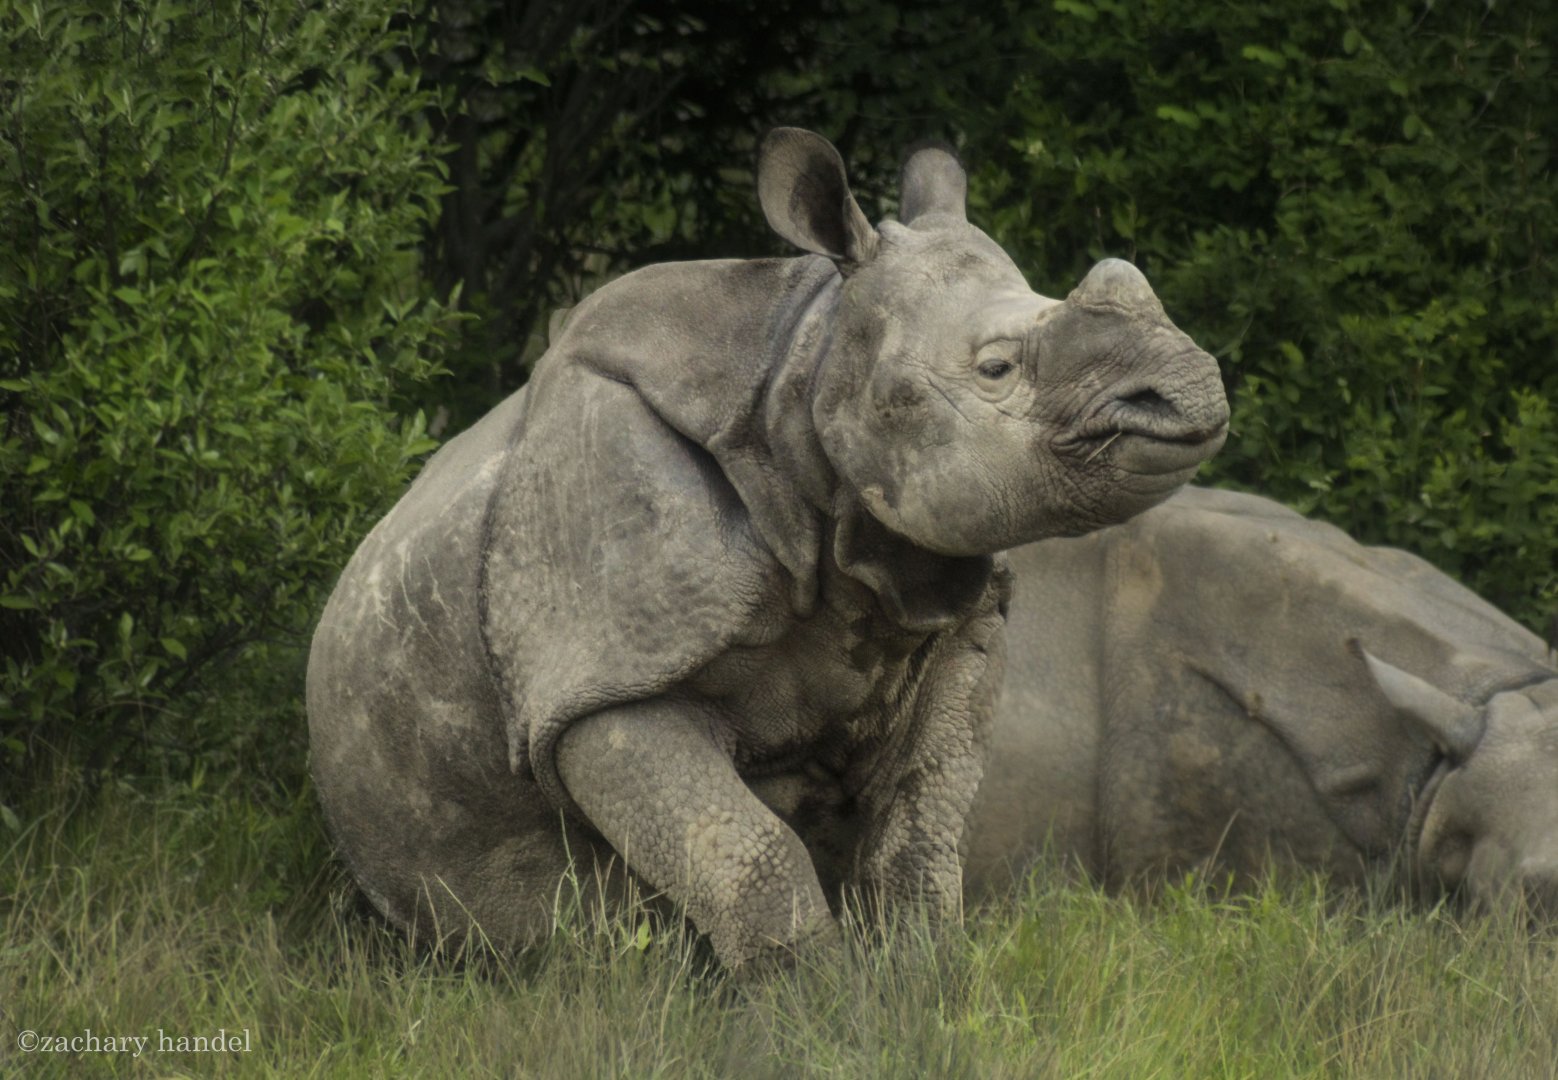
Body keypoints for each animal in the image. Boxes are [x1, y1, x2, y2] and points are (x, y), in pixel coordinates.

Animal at [307, 128, 1228, 971]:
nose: (1192, 391)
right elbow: (748, 854)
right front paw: (807, 1008)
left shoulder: (956, 622)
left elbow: (921, 839)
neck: (803, 370)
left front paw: (918, 991)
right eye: (997, 368)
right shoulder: (601, 675)